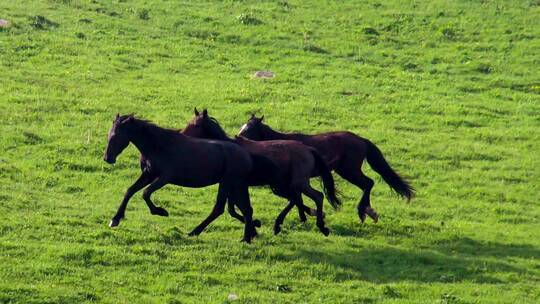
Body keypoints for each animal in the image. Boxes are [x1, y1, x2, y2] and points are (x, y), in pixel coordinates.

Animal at [104, 114, 260, 242]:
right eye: (109, 134)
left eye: (116, 135)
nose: (107, 158)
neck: (158, 146)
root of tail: (247, 156)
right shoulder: (148, 174)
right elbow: (130, 191)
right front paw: (115, 219)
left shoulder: (164, 177)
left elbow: (145, 193)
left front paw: (160, 211)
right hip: (236, 186)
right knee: (246, 209)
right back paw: (248, 235)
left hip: (227, 183)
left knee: (220, 209)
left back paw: (195, 232)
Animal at [182, 109, 342, 235]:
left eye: (196, 125)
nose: (182, 134)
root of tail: (308, 149)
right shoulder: (236, 185)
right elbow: (234, 209)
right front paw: (254, 225)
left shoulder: (236, 185)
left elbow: (237, 208)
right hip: (285, 184)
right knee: (296, 199)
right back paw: (280, 225)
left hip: (298, 182)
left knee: (317, 196)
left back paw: (321, 226)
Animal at [238, 114, 416, 223]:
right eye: (243, 127)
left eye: (249, 129)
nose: (237, 138)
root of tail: (360, 139)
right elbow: (296, 198)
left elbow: (297, 197)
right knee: (367, 184)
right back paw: (369, 211)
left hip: (349, 171)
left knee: (368, 183)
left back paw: (363, 212)